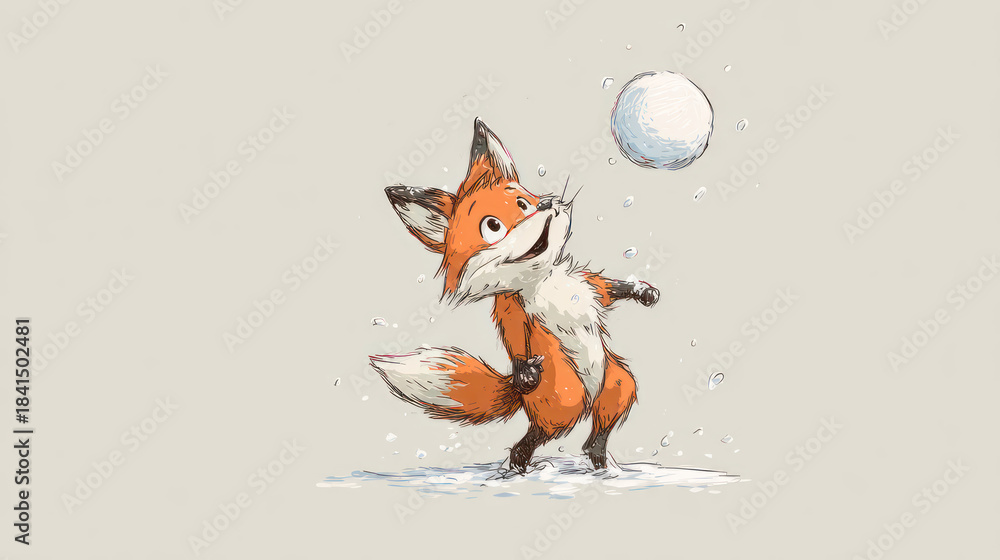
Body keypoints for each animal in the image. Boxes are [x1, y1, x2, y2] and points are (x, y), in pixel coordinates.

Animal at [370, 118, 660, 474]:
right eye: (493, 226)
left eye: (524, 203)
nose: (545, 206)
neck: (542, 282)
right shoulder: (513, 311)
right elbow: (516, 339)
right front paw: (526, 371)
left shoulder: (587, 285)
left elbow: (609, 289)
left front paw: (644, 291)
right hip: (565, 395)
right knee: (536, 435)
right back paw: (520, 464)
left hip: (617, 382)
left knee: (599, 427)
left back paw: (599, 460)